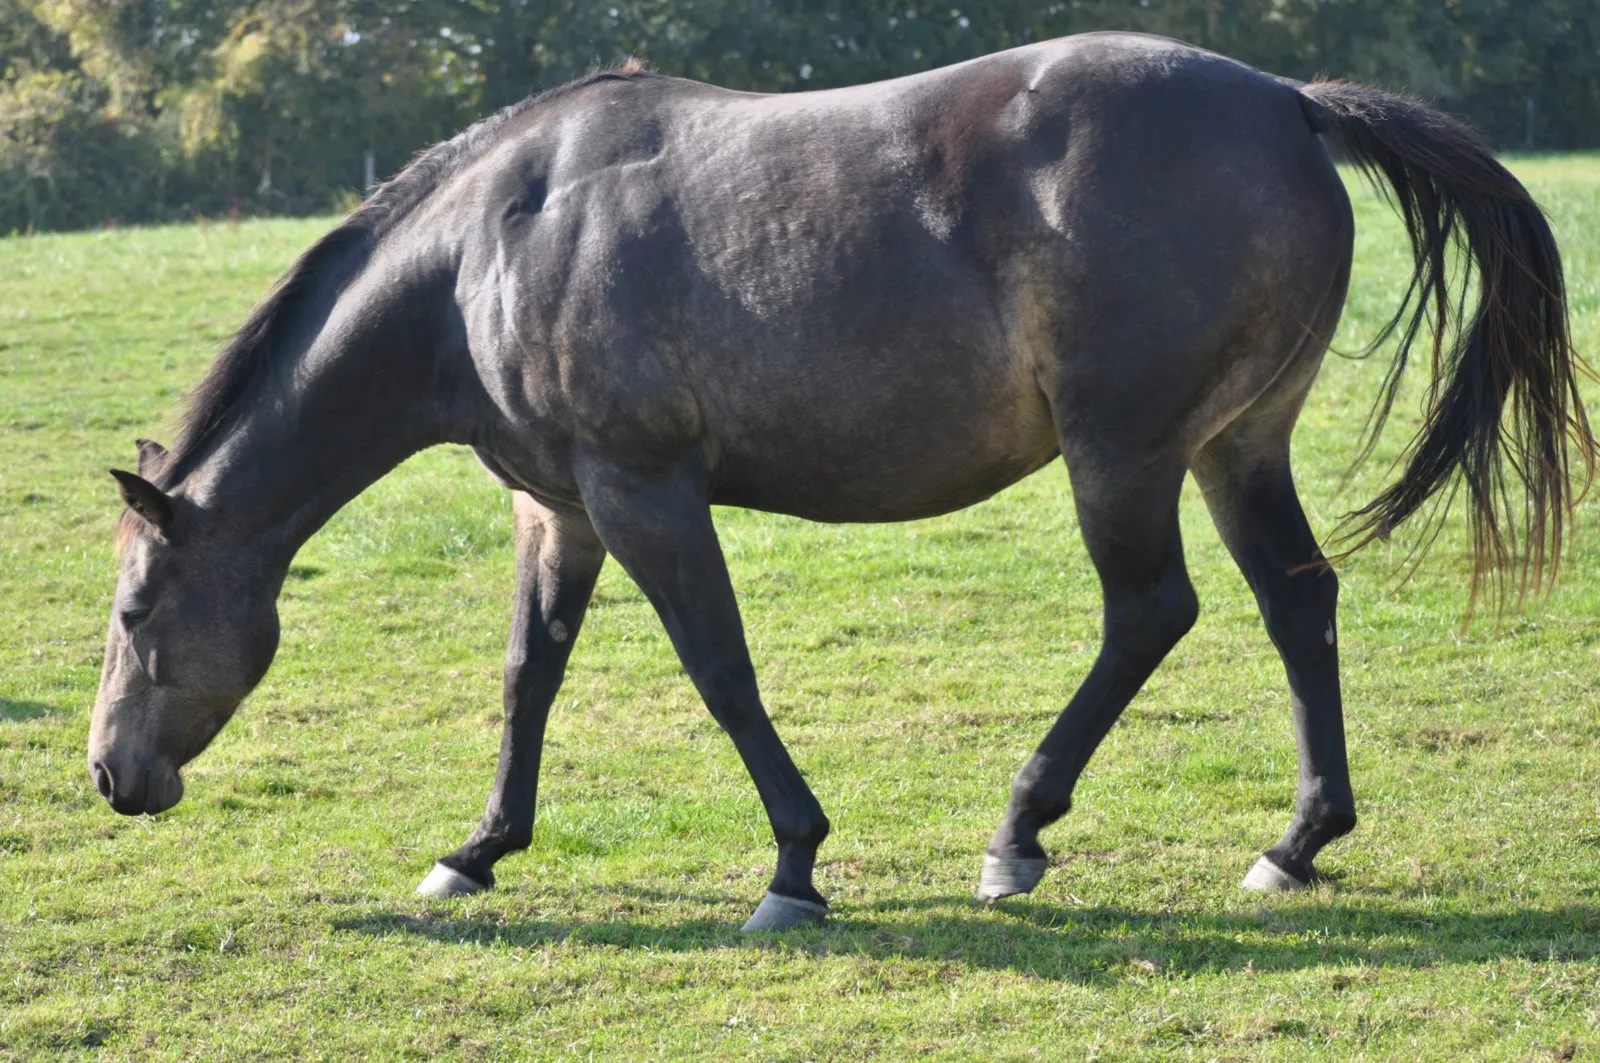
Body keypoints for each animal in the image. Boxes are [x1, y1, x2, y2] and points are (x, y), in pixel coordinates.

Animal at [89, 32, 1593, 931]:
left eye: (132, 613)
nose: (112, 773)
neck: (492, 247)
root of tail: (1285, 103)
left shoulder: (643, 492)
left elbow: (721, 671)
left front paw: (794, 868)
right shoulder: (557, 508)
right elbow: (529, 677)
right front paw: (475, 849)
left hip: (1124, 454)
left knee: (1150, 613)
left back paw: (1019, 829)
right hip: (1236, 445)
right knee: (1297, 603)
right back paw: (1296, 841)